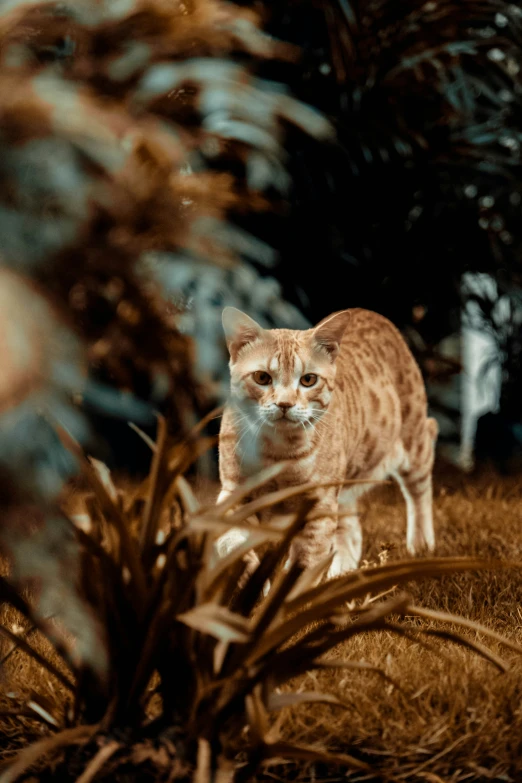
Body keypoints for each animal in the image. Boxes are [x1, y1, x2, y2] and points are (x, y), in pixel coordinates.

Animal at [213, 310, 436, 580]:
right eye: (262, 377)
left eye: (308, 380)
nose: (285, 404)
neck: (277, 452)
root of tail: (370, 313)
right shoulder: (234, 495)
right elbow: (229, 543)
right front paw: (247, 579)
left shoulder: (319, 508)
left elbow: (304, 565)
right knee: (351, 531)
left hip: (413, 440)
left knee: (420, 483)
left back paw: (422, 543)